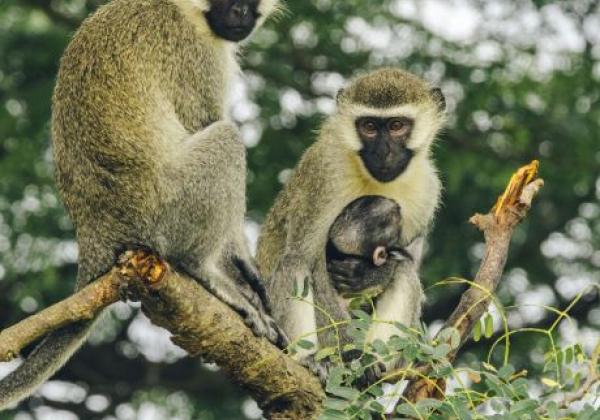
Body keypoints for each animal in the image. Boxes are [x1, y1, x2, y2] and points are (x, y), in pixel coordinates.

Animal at [0, 0, 282, 408]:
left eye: (246, 8)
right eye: (231, 6)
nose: (239, 18)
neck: (184, 10)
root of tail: (95, 233)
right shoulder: (195, 55)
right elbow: (203, 121)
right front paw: (240, 263)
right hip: (168, 210)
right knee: (226, 139)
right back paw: (205, 271)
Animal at [258, 68, 446, 374]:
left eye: (397, 125)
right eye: (369, 126)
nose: (383, 152)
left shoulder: (428, 191)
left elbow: (405, 259)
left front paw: (368, 275)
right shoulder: (323, 173)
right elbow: (307, 258)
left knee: (405, 273)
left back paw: (375, 364)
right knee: (293, 264)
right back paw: (313, 359)